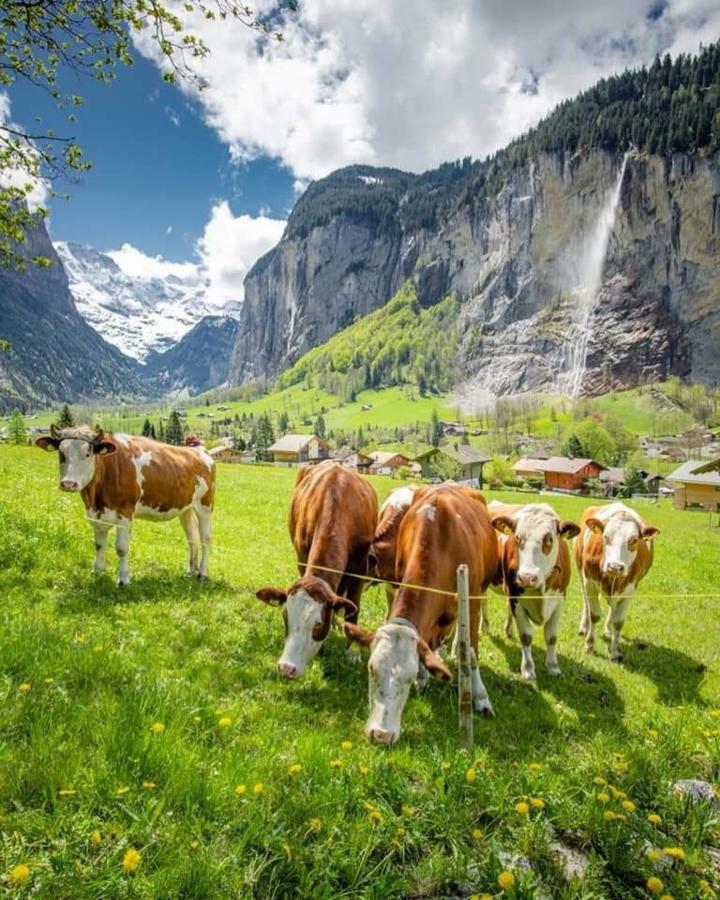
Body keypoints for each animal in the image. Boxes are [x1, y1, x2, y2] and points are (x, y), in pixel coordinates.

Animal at [36, 428, 215, 588]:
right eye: (61, 453)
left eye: (88, 453)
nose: (68, 484)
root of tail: (200, 450)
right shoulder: (97, 514)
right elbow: (99, 545)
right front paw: (97, 572)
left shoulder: (125, 512)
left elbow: (121, 548)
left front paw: (123, 579)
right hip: (185, 508)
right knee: (192, 537)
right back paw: (190, 571)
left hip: (205, 505)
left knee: (205, 539)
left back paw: (202, 573)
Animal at [255, 460, 376, 680]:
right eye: (286, 616)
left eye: (318, 624)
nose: (286, 668)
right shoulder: (301, 559)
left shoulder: (361, 568)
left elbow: (353, 609)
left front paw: (353, 652)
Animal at [346, 486, 498, 744]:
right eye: (372, 669)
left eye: (407, 678)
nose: (381, 735)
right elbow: (425, 642)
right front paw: (424, 676)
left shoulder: (472, 598)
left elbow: (472, 651)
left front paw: (480, 698)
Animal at [486, 500, 584, 684]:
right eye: (517, 538)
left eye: (549, 539)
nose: (526, 577)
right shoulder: (516, 598)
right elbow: (526, 636)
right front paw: (528, 669)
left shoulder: (560, 600)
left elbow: (551, 636)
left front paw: (553, 667)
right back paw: (485, 626)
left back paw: (508, 630)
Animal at [572, 500, 660, 660]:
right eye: (606, 537)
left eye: (634, 540)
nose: (615, 566)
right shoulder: (590, 582)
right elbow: (594, 615)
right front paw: (589, 645)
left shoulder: (630, 590)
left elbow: (618, 622)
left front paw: (615, 650)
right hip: (581, 573)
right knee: (586, 603)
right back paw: (584, 627)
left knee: (612, 610)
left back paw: (610, 630)